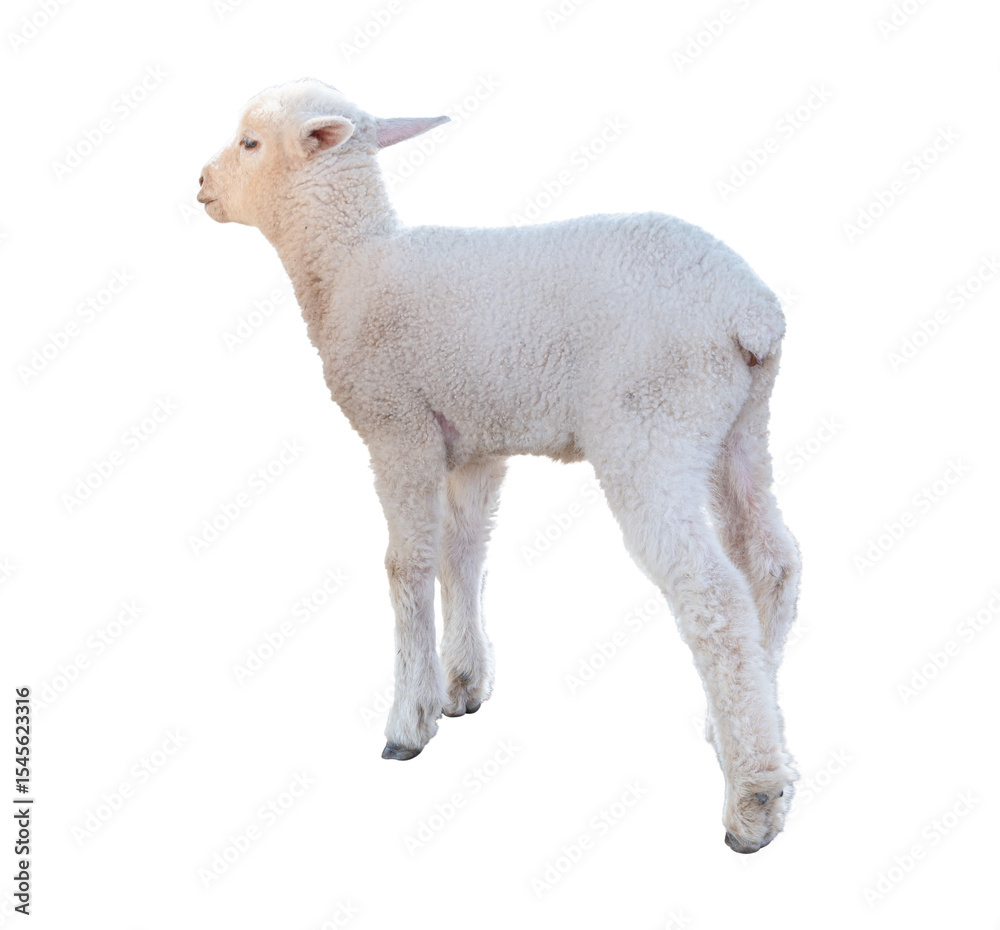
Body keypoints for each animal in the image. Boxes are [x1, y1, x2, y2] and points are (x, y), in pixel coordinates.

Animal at [197, 78, 802, 853]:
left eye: (249, 142)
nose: (201, 185)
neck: (350, 264)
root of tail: (750, 311)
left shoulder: (399, 429)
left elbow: (407, 567)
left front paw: (409, 719)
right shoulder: (475, 445)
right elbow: (464, 554)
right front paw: (462, 685)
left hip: (652, 424)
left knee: (713, 594)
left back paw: (753, 801)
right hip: (739, 425)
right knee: (772, 560)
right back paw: (744, 735)